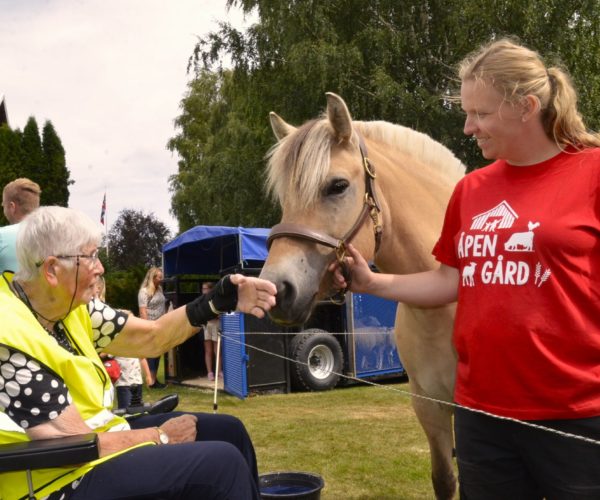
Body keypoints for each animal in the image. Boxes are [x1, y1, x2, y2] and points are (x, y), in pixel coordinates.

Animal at [260, 92, 466, 498]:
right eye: (285, 197)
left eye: (337, 186)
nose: (279, 289)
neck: (441, 306)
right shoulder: (429, 407)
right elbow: (444, 479)